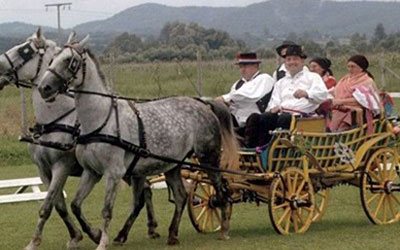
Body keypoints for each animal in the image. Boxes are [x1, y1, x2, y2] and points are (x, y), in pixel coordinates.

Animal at [0, 29, 159, 250]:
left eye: (25, 50)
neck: (57, 119)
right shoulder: (43, 170)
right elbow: (59, 205)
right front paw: (76, 236)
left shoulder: (62, 166)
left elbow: (48, 205)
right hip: (132, 169)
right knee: (146, 191)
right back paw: (148, 228)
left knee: (144, 194)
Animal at [38, 33, 238, 250]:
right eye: (52, 58)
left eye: (69, 60)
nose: (44, 88)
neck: (101, 120)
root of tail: (203, 103)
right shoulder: (92, 172)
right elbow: (75, 205)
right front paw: (95, 234)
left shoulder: (113, 173)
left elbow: (107, 210)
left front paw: (102, 241)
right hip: (173, 165)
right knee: (181, 196)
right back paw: (172, 235)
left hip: (208, 158)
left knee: (220, 190)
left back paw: (224, 228)